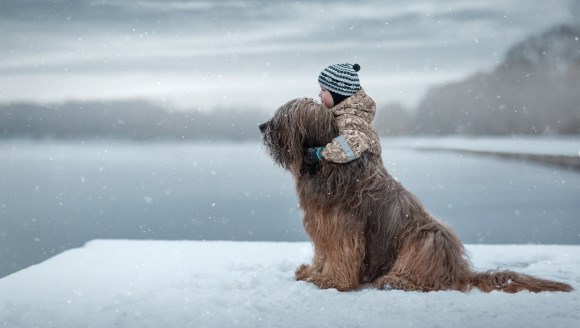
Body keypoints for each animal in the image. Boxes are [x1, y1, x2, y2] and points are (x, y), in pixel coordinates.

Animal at [260, 96, 572, 292]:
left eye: (284, 117)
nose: (262, 126)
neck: (324, 165)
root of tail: (460, 270)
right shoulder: (322, 225)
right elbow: (323, 254)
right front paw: (313, 272)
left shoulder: (342, 227)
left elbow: (340, 255)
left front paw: (332, 281)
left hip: (425, 236)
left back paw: (396, 280)